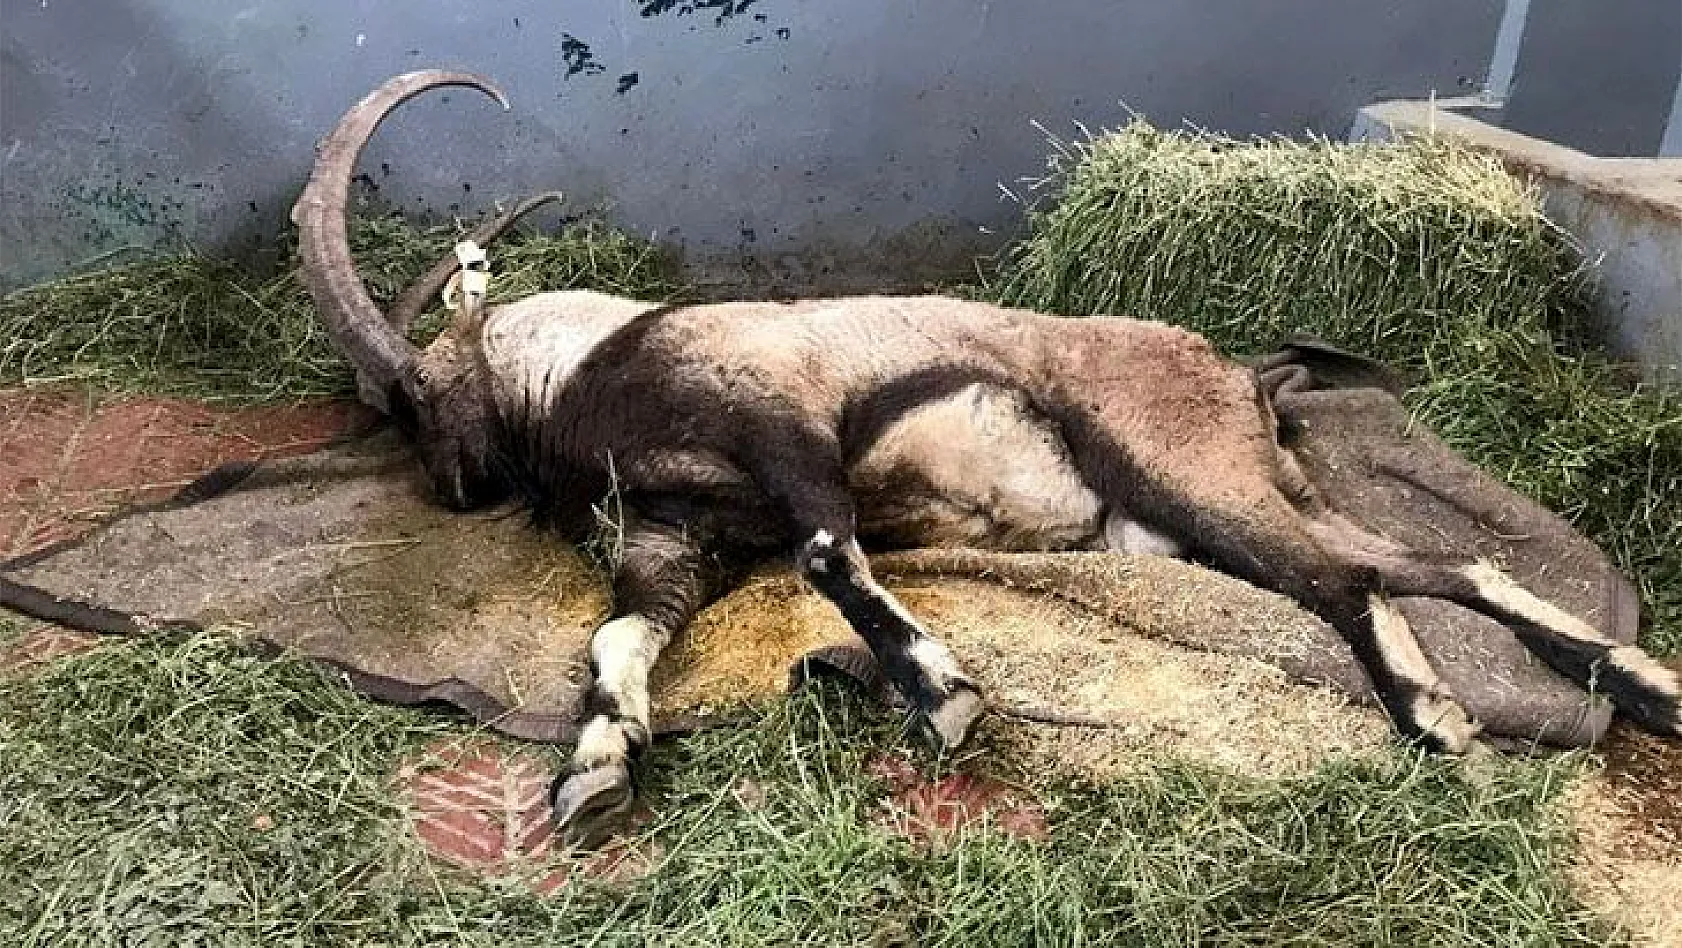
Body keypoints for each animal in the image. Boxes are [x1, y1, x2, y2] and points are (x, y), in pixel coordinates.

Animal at [296, 72, 1675, 843]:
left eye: (417, 389)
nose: (454, 489)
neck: (598, 372)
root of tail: (1241, 378)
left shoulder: (784, 430)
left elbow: (825, 550)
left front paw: (943, 693)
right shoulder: (679, 536)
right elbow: (623, 632)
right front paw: (593, 774)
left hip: (1179, 467)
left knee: (1346, 581)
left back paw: (1436, 717)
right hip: (1204, 510)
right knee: (1433, 566)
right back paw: (1639, 686)